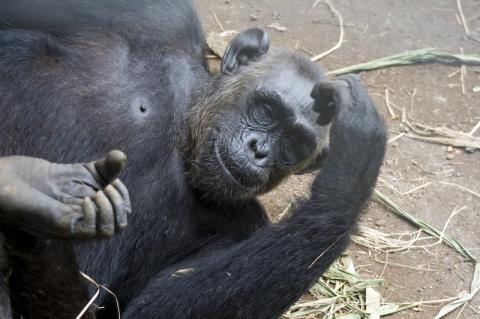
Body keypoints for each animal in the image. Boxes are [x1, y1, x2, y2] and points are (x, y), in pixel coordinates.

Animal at [0, 0, 384, 319]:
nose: (258, 150)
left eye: (294, 143)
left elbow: (153, 308)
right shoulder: (158, 16)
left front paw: (354, 168)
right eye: (267, 110)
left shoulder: (244, 227)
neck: (183, 136)